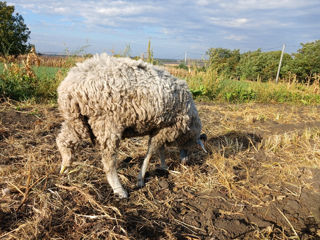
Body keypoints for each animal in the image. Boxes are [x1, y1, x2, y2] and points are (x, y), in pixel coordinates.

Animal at [57, 53, 208, 198]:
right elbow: (151, 152)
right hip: (106, 123)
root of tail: (71, 84)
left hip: (76, 119)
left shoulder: (160, 128)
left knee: (62, 140)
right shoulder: (167, 128)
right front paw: (141, 179)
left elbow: (160, 149)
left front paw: (163, 166)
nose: (186, 162)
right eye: (193, 146)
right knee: (108, 161)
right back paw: (119, 190)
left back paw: (65, 166)